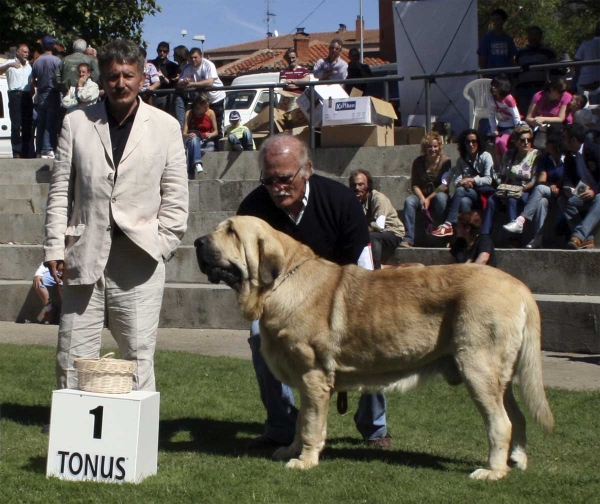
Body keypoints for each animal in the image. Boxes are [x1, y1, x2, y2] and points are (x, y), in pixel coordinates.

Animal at [195, 215, 556, 478]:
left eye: (231, 231)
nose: (197, 242)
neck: (283, 281)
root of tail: (521, 288)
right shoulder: (309, 382)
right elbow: (300, 423)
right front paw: (291, 450)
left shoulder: (314, 377)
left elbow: (310, 424)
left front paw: (304, 460)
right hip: (500, 378)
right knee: (517, 418)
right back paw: (517, 461)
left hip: (478, 370)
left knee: (501, 423)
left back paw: (492, 471)